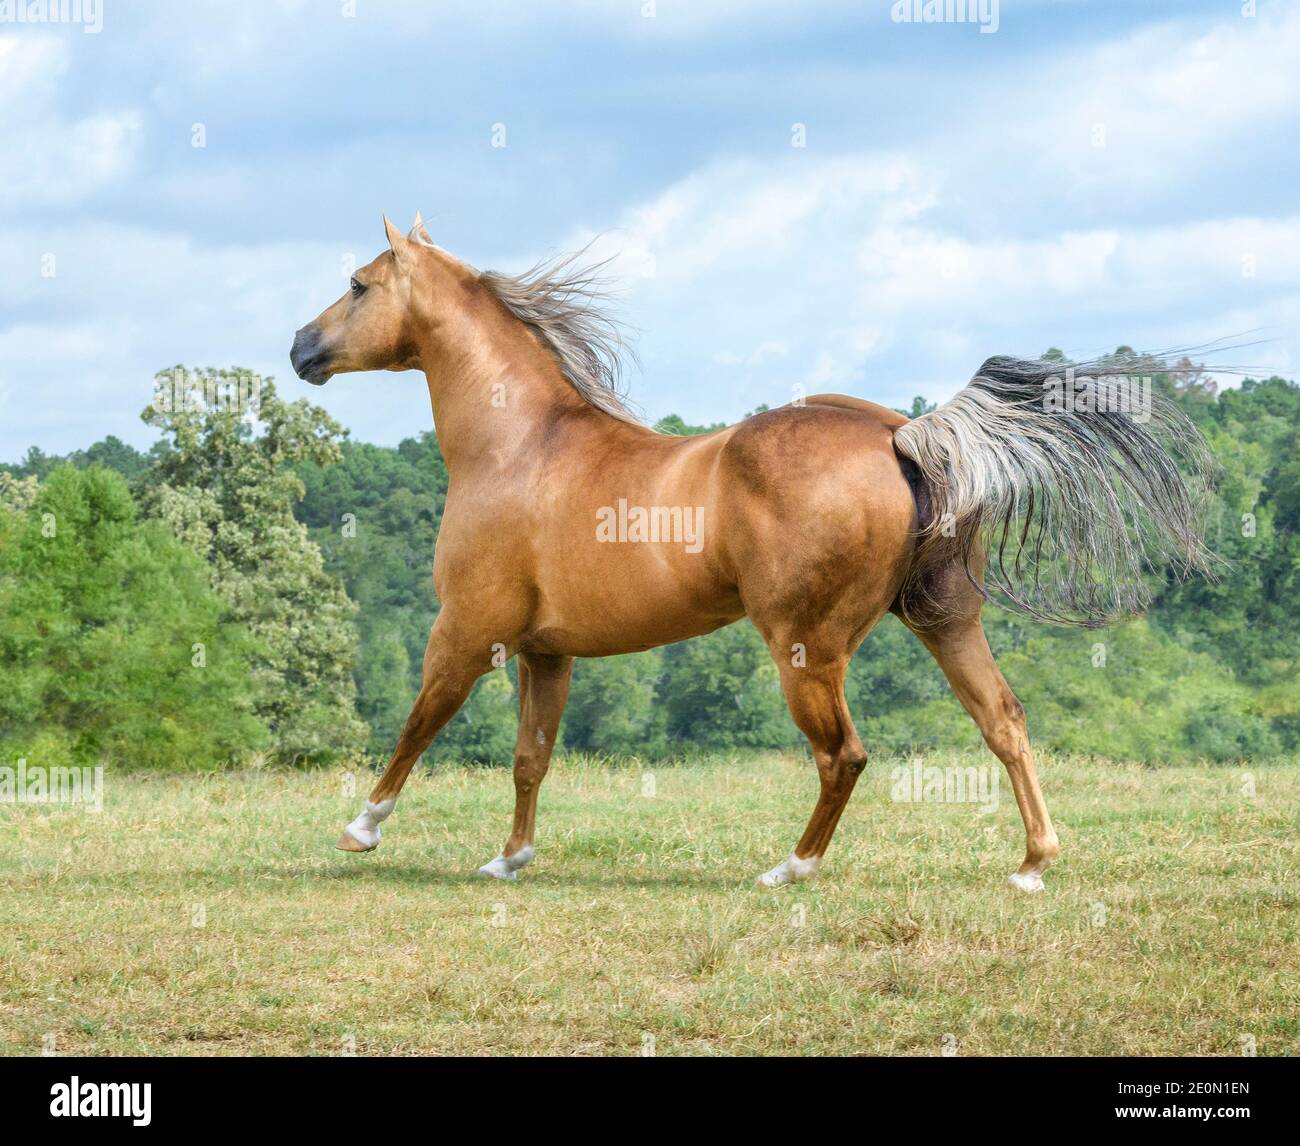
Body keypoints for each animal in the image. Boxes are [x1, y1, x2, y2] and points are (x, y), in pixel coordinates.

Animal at [289, 216, 1211, 893]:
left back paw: (789, 869)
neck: (519, 445)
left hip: (805, 646)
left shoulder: (469, 630)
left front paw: (361, 828)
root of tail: (899, 433)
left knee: (844, 754)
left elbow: (419, 722)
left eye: (358, 284)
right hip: (944, 622)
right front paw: (508, 860)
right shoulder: (548, 652)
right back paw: (1031, 865)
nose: (300, 347)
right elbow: (530, 758)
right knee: (1005, 722)